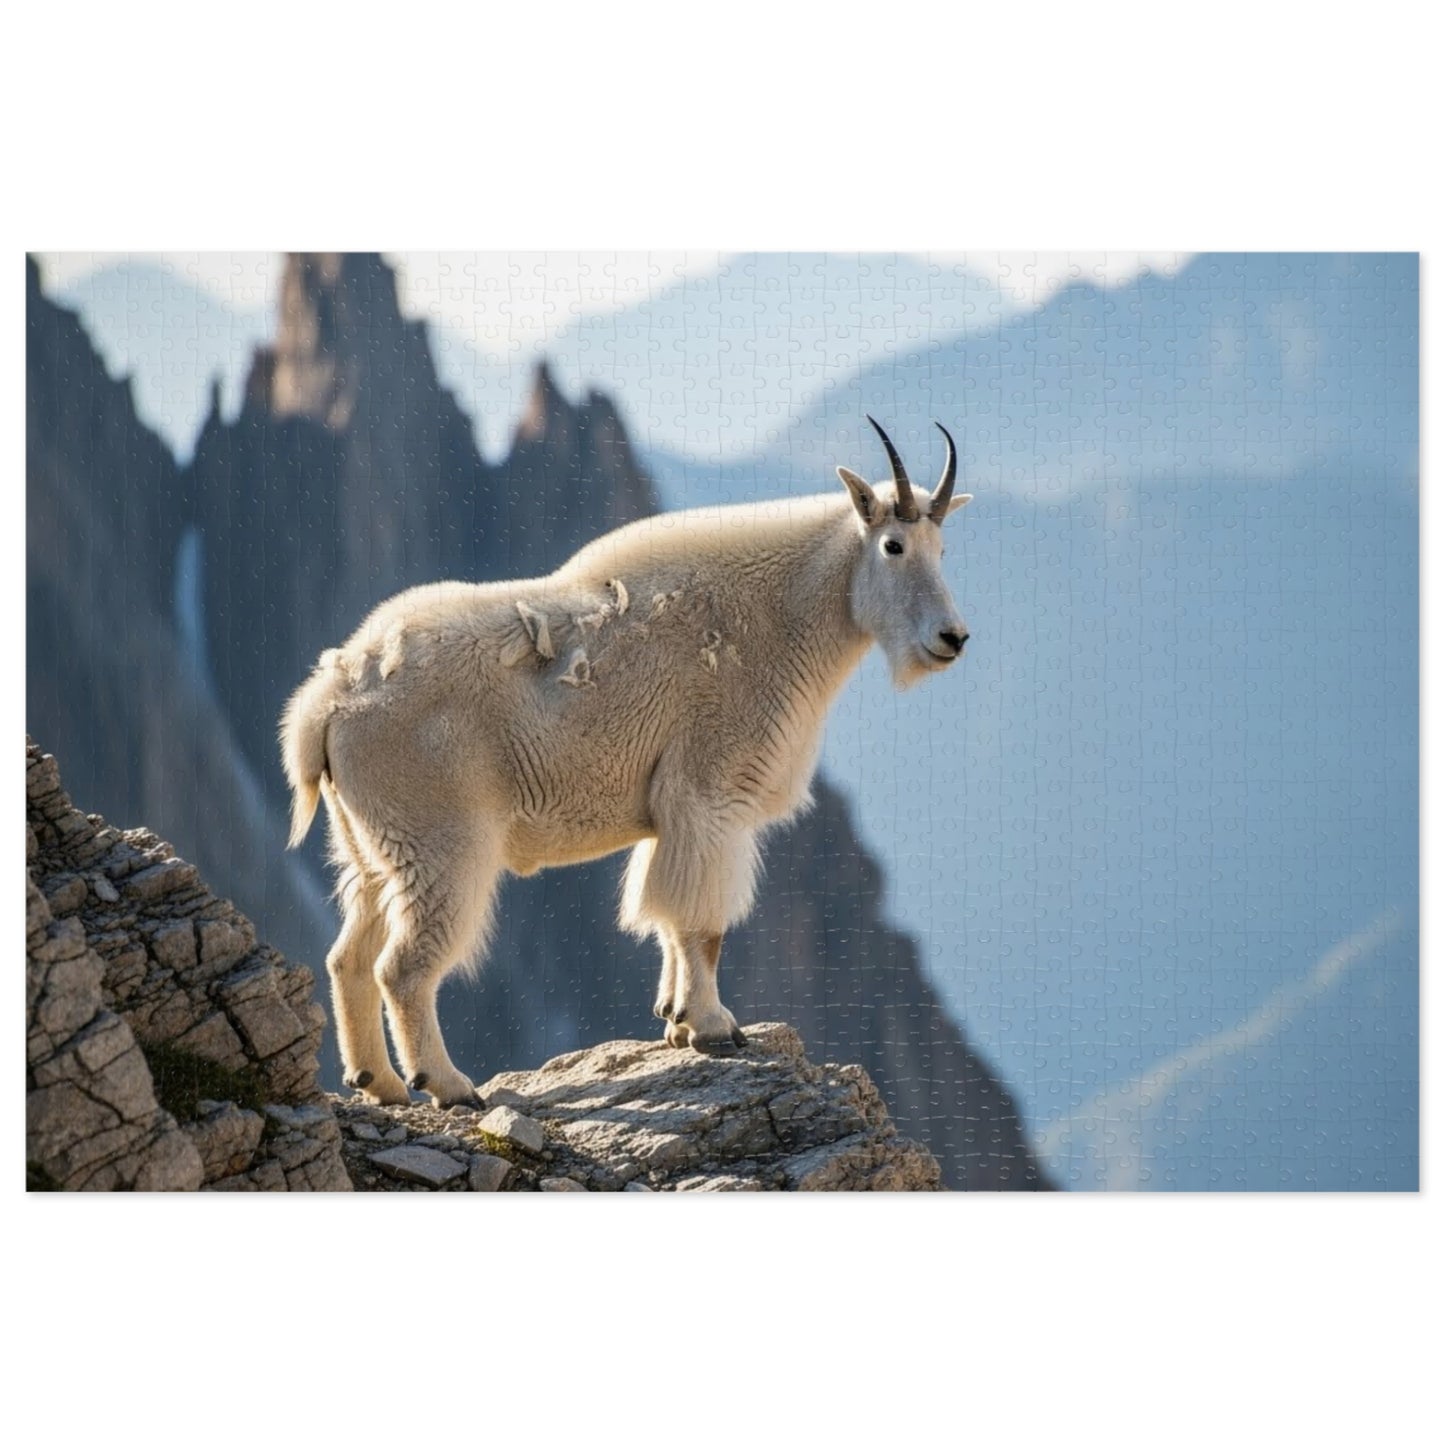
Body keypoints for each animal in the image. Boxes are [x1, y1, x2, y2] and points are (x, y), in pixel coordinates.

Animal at [281, 418, 973, 1106]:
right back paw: (448, 1085)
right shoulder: (710, 791)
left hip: (370, 846)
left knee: (348, 956)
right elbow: (702, 923)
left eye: (942, 549)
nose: (952, 638)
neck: (780, 616)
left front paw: (675, 1019)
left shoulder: (673, 811)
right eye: (892, 545)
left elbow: (667, 917)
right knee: (403, 967)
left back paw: (378, 1082)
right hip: (438, 842)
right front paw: (714, 1026)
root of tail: (324, 704)